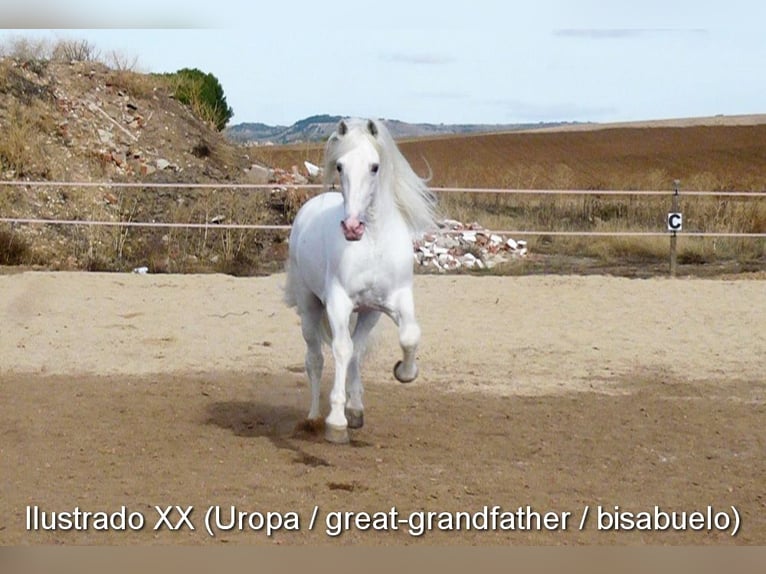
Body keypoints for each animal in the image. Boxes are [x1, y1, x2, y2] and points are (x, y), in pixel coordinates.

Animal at [284, 118, 437, 444]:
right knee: (316, 359)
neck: (373, 243)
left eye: (374, 167)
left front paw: (404, 373)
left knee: (357, 351)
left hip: (368, 314)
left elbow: (409, 336)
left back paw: (355, 410)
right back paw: (314, 418)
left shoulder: (395, 300)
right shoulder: (338, 303)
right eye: (340, 166)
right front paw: (336, 422)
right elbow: (340, 350)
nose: (352, 227)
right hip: (309, 306)